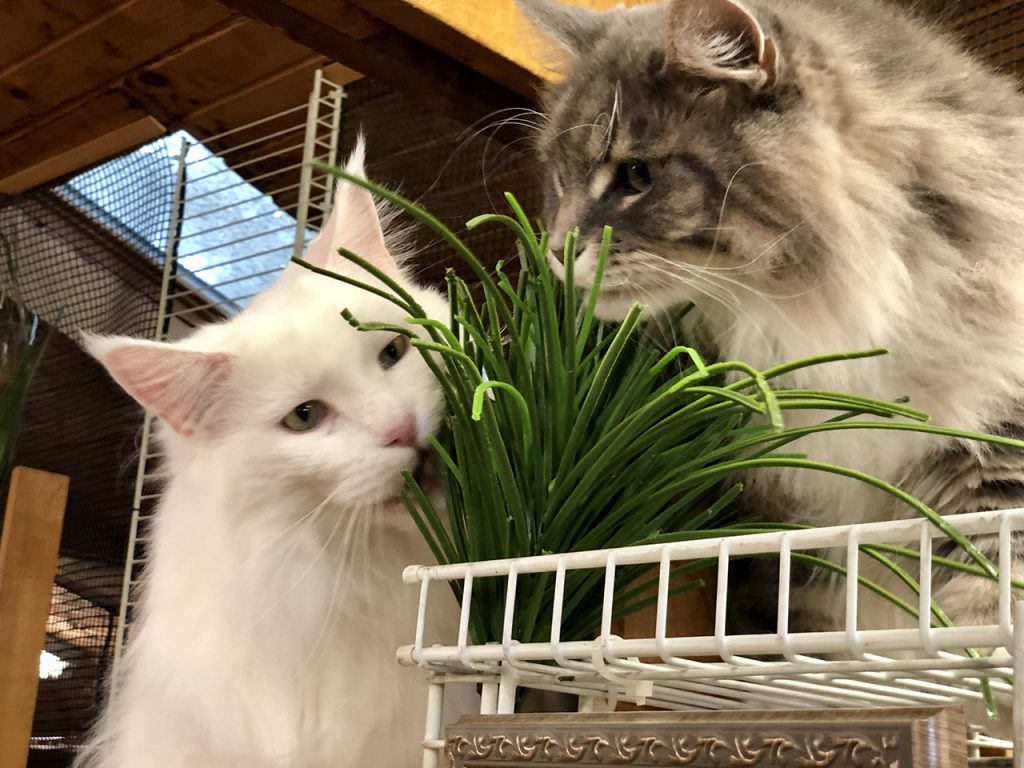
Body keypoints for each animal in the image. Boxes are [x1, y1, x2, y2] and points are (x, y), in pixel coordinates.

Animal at [524, 0, 1024, 638]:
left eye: (637, 176)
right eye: (558, 180)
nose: (555, 250)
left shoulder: (994, 459)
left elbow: (988, 607)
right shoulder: (782, 532)